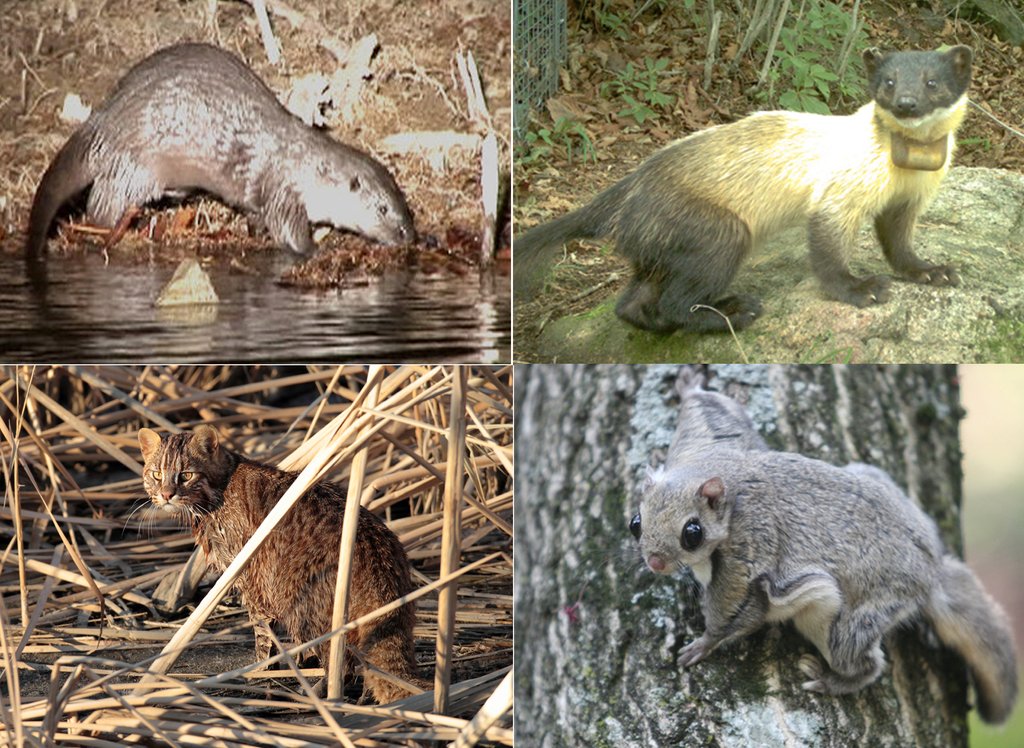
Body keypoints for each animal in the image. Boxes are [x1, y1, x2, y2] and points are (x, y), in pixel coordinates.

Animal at [138, 422, 425, 700]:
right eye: (156, 475)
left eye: (186, 475)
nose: (166, 494)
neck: (218, 491)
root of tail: (382, 565)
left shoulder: (251, 575)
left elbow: (262, 629)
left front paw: (262, 669)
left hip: (301, 597)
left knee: (341, 663)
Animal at [516, 43, 970, 329]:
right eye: (888, 81)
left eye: (932, 81)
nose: (906, 103)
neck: (906, 172)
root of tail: (632, 183)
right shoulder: (837, 197)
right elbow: (829, 256)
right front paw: (862, 289)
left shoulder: (908, 203)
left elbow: (899, 247)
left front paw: (934, 271)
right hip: (720, 231)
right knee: (676, 304)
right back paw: (734, 311)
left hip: (653, 250)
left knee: (633, 304)